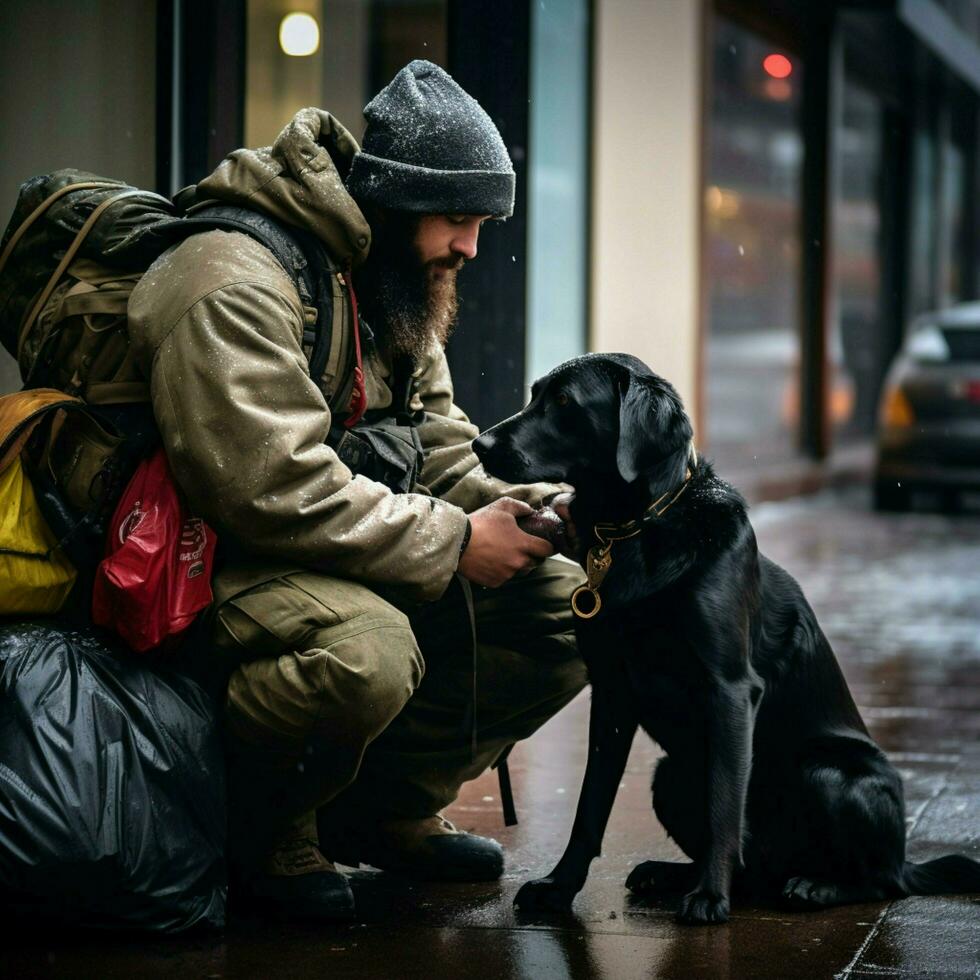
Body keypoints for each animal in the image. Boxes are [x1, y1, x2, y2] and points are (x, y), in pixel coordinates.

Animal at [470, 354, 976, 928]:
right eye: (535, 393)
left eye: (563, 402)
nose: (479, 444)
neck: (640, 527)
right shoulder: (613, 693)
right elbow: (589, 806)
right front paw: (559, 888)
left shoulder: (730, 689)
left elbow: (723, 806)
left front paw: (711, 897)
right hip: (670, 775)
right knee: (755, 871)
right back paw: (672, 874)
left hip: (829, 774)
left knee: (882, 880)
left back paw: (815, 887)